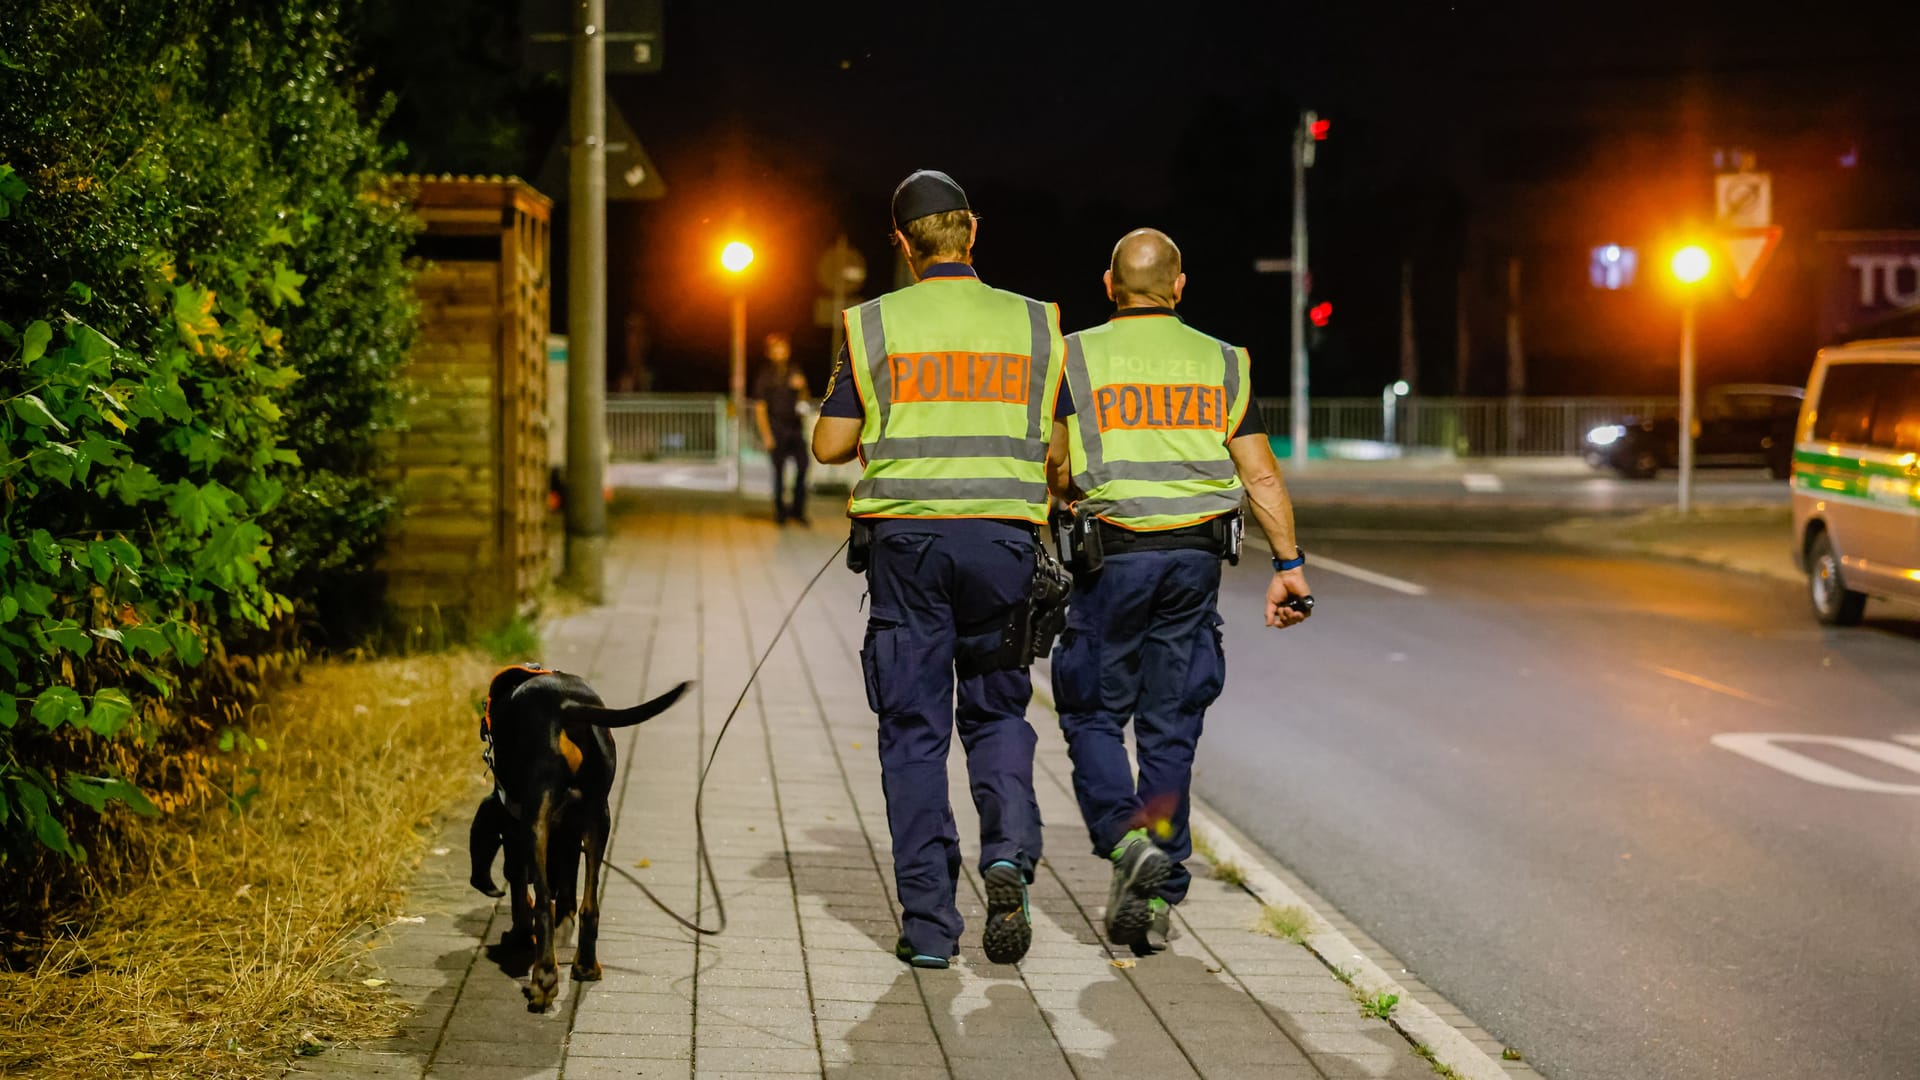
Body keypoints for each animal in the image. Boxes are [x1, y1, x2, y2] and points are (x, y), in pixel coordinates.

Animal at [472, 664, 691, 1006]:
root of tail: (566, 706)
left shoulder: (514, 825)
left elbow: (520, 888)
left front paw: (519, 935)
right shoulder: (571, 833)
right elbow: (567, 888)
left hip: (536, 821)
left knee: (543, 903)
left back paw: (544, 979)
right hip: (599, 817)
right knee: (590, 906)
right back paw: (586, 965)